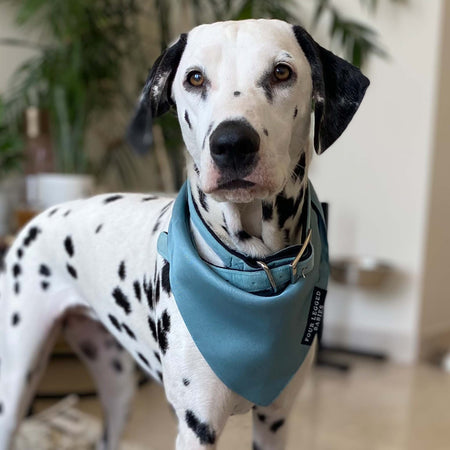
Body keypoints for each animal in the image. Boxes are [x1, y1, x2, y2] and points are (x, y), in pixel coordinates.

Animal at [0, 19, 370, 450]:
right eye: (194, 78)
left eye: (282, 72)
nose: (232, 143)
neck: (254, 269)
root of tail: (40, 216)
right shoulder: (197, 427)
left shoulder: (275, 422)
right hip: (16, 385)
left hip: (118, 386)